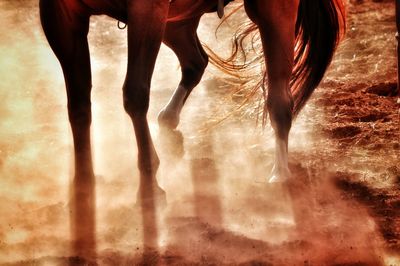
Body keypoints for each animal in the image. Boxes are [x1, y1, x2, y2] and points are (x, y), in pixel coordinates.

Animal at [40, 0, 346, 247]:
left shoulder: (146, 11)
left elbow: (135, 95)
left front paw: (150, 185)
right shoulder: (59, 15)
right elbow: (78, 105)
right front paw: (82, 186)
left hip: (270, 12)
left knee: (279, 100)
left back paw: (279, 173)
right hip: (175, 21)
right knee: (195, 61)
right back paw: (168, 119)